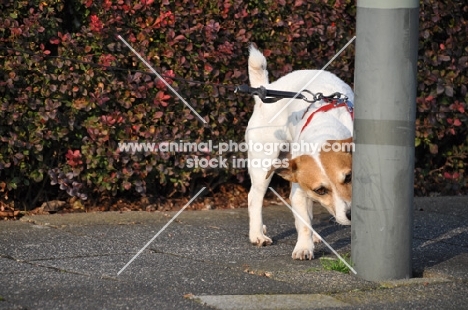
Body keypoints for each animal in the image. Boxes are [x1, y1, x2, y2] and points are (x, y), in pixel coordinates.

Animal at [247, 45, 352, 260]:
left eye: (348, 178)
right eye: (321, 190)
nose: (350, 215)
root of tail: (265, 90)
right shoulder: (298, 192)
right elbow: (303, 224)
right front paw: (304, 247)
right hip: (262, 167)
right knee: (254, 198)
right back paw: (257, 234)